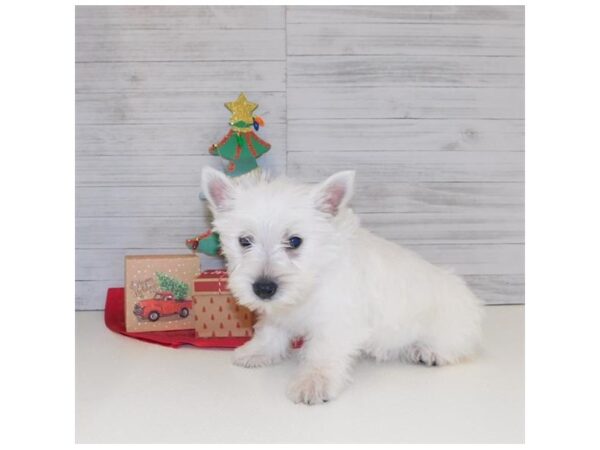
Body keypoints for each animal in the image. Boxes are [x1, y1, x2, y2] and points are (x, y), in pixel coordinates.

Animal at [202, 168, 482, 404]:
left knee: (457, 343)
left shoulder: (337, 321)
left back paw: (428, 351)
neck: (313, 280)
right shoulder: (279, 312)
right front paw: (256, 352)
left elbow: (322, 353)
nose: (263, 288)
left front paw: (313, 383)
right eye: (244, 241)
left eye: (295, 241)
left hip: (448, 324)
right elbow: (270, 331)